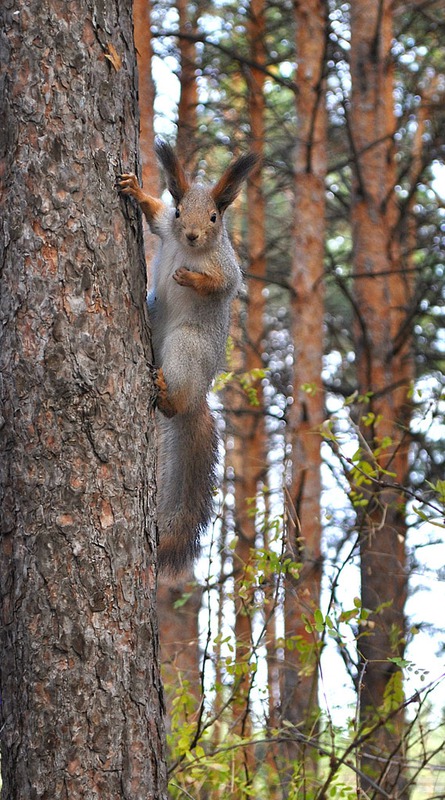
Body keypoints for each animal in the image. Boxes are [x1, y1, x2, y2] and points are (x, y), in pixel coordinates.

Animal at [118, 141, 256, 572]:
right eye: (181, 211)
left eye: (215, 217)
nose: (193, 235)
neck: (188, 248)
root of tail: (199, 395)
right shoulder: (166, 230)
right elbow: (154, 217)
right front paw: (135, 189)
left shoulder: (227, 269)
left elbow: (221, 284)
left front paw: (189, 277)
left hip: (186, 347)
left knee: (176, 403)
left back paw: (167, 394)